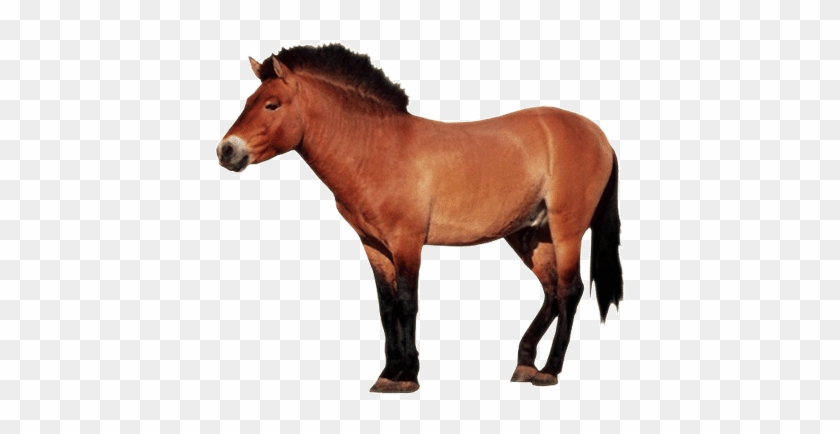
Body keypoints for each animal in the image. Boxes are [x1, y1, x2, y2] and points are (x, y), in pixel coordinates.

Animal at [217, 43, 623, 393]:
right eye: (249, 101)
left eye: (271, 104)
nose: (227, 151)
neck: (377, 150)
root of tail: (600, 136)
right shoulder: (375, 245)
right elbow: (386, 306)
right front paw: (389, 372)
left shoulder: (407, 241)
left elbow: (407, 302)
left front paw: (408, 375)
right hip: (530, 236)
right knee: (552, 291)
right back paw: (525, 364)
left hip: (566, 230)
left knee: (569, 291)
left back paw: (549, 370)